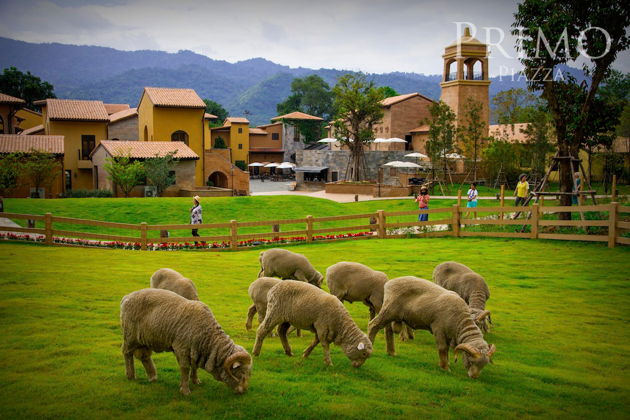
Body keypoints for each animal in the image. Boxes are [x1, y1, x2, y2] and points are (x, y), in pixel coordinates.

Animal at [121, 288, 252, 394]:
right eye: (241, 372)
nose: (243, 392)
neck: (208, 338)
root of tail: (126, 297)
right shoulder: (181, 348)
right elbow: (185, 368)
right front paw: (185, 390)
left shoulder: (195, 350)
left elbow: (194, 366)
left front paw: (196, 381)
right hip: (130, 336)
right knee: (127, 353)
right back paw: (131, 376)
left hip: (144, 339)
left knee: (144, 356)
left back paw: (153, 377)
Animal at [368, 278, 496, 378]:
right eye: (470, 360)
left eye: (484, 364)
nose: (474, 377)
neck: (459, 321)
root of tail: (389, 283)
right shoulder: (438, 328)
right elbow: (443, 348)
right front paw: (445, 368)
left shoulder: (449, 334)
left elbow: (447, 350)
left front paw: (446, 363)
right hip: (389, 310)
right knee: (373, 325)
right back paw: (370, 345)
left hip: (391, 313)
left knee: (388, 330)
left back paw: (391, 352)